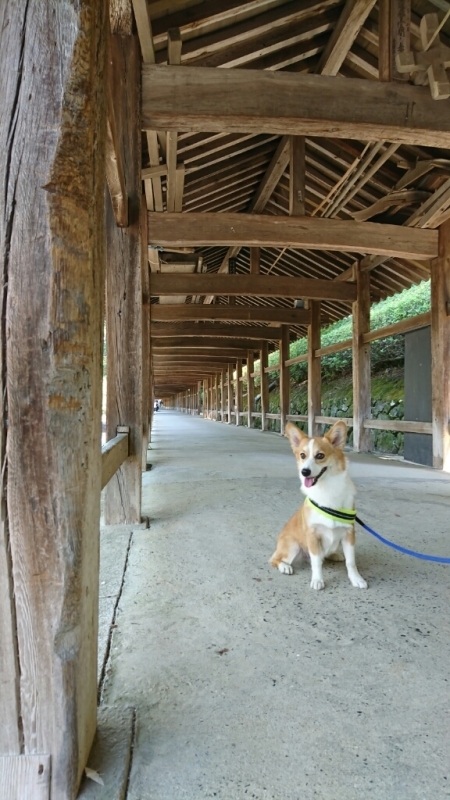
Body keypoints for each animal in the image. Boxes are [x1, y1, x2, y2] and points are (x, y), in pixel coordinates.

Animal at [268, 422, 368, 592]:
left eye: (320, 455)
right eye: (302, 455)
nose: (305, 472)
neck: (327, 489)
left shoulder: (349, 534)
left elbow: (351, 562)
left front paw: (356, 579)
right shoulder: (313, 535)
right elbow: (316, 562)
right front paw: (317, 580)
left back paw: (334, 555)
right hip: (292, 546)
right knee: (275, 559)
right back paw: (285, 567)